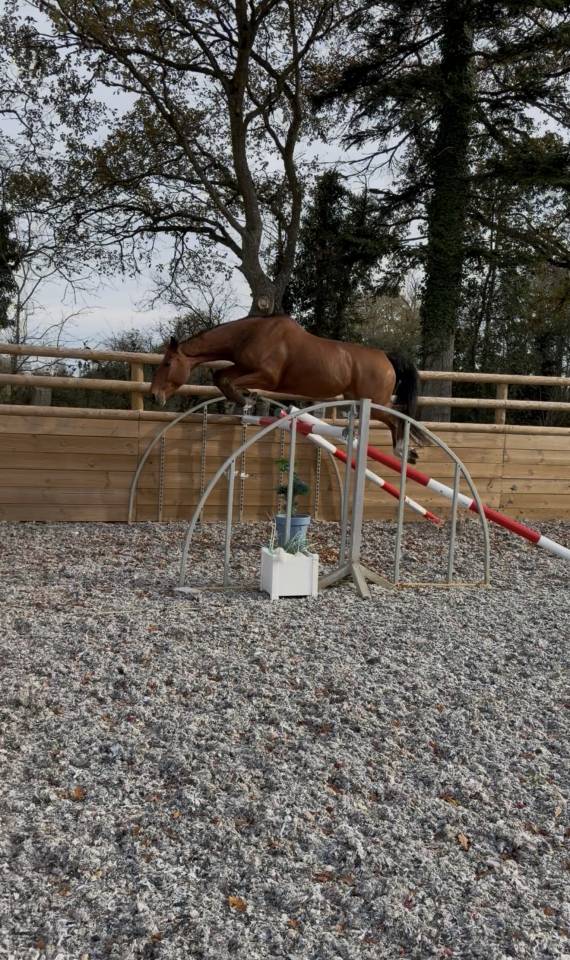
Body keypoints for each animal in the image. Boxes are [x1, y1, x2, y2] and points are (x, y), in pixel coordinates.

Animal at [150, 313, 424, 462]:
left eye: (167, 363)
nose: (155, 395)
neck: (250, 334)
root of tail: (387, 357)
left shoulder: (268, 377)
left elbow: (228, 381)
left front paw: (248, 400)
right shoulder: (241, 367)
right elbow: (221, 377)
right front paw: (246, 401)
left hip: (374, 402)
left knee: (398, 418)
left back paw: (403, 451)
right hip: (363, 400)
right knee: (396, 417)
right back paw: (405, 453)